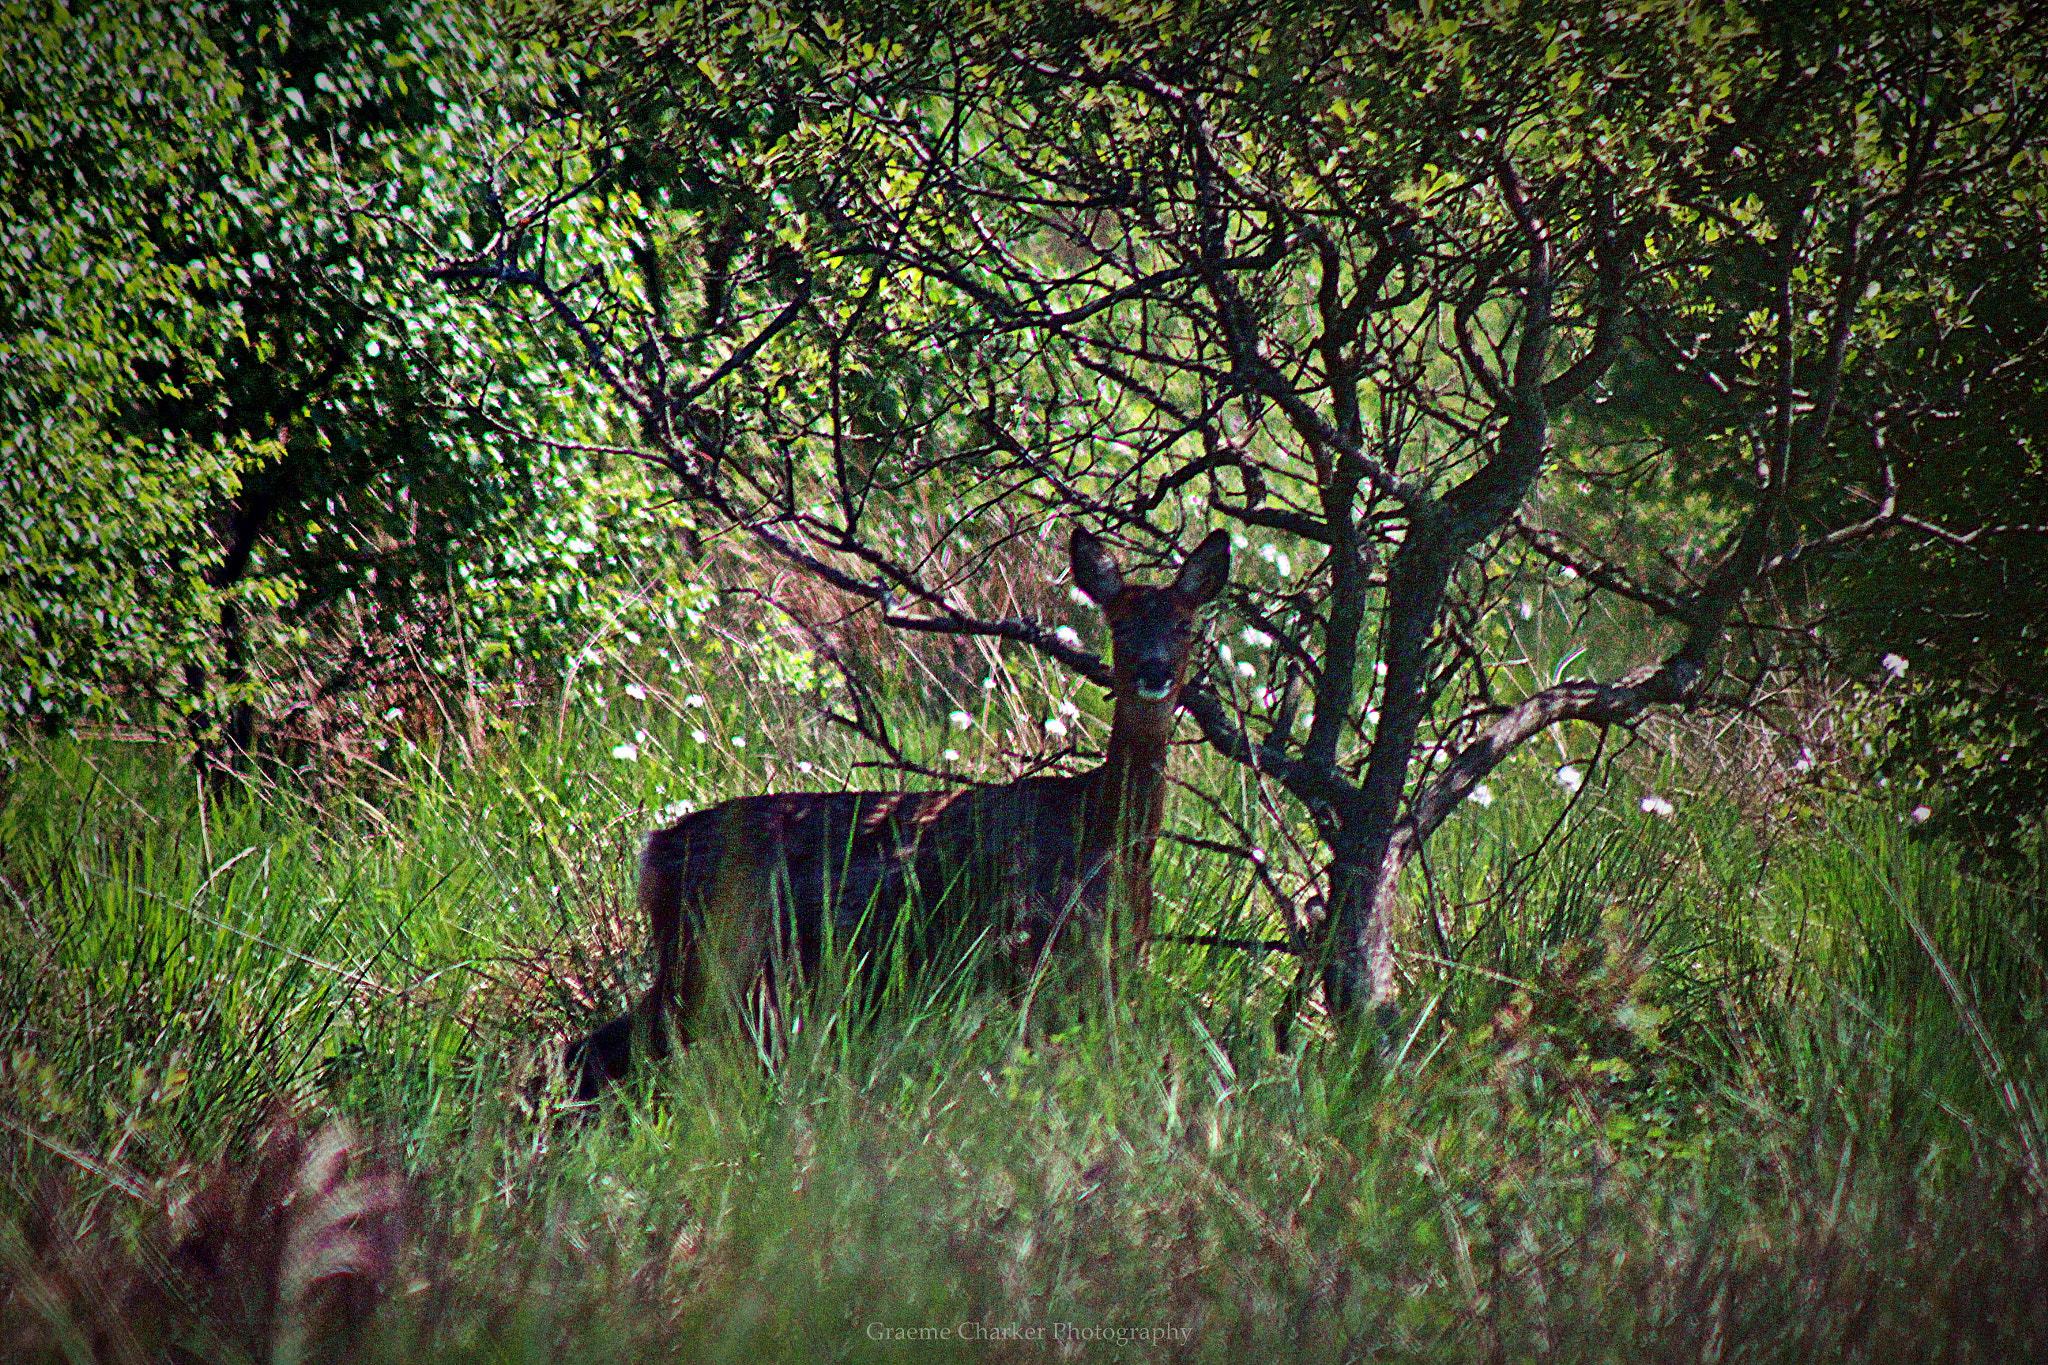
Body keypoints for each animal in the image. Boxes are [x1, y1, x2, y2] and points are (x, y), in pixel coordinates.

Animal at [565, 527, 1228, 1105]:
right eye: (1119, 624)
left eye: (1186, 625)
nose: (1153, 672)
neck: (1103, 830)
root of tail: (656, 849)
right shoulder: (1033, 950)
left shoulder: (1107, 965)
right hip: (712, 954)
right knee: (608, 1050)